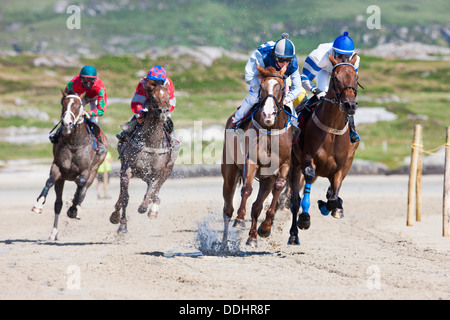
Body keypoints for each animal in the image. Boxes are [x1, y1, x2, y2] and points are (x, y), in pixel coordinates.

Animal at [31, 90, 108, 240]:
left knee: (83, 190)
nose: (67, 123)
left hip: (94, 171)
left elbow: (81, 187)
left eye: (78, 106)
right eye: (64, 104)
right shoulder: (58, 168)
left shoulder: (85, 171)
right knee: (58, 204)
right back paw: (53, 233)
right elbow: (50, 181)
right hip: (62, 179)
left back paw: (76, 208)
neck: (74, 143)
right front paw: (38, 204)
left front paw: (73, 209)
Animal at [110, 82, 178, 232]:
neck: (150, 143)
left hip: (167, 171)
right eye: (152, 96)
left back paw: (153, 210)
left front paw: (145, 207)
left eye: (168, 96)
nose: (163, 111)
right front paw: (119, 220)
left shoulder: (157, 174)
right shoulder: (127, 170)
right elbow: (124, 197)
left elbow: (150, 193)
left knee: (156, 193)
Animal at [222, 63, 296, 248]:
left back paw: (253, 236)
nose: (268, 114)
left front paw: (265, 227)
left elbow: (278, 187)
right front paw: (240, 219)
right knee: (227, 209)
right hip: (229, 172)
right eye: (262, 87)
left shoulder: (284, 165)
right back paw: (225, 241)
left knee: (257, 205)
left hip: (266, 180)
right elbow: (247, 189)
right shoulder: (251, 161)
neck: (270, 129)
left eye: (281, 87)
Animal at [288, 53, 362, 244]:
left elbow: (334, 198)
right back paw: (294, 233)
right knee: (295, 201)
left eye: (356, 77)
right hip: (294, 165)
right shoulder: (308, 160)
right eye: (335, 77)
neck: (332, 130)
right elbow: (308, 180)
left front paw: (329, 205)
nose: (350, 105)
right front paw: (304, 219)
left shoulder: (341, 168)